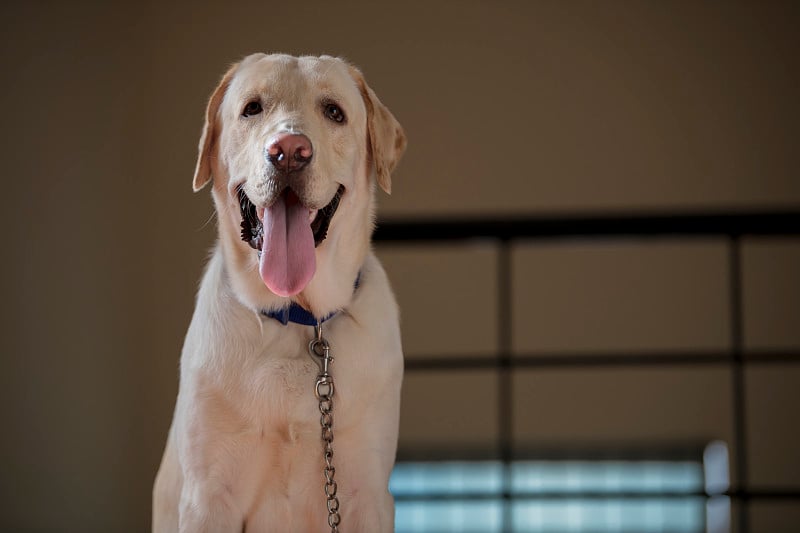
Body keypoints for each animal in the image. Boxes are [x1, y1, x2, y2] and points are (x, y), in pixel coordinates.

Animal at [152, 52, 406, 528]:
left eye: (334, 112)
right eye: (252, 108)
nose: (289, 152)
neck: (297, 317)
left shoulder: (366, 495)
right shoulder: (208, 497)